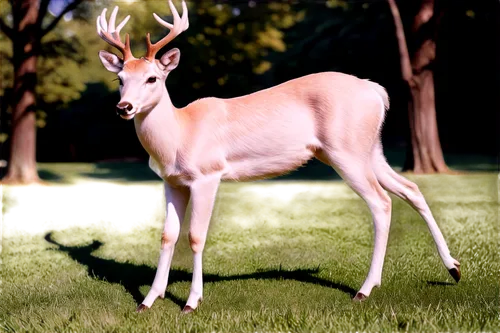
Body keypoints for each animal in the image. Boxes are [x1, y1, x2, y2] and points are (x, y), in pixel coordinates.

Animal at [95, 0, 458, 312]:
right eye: (120, 78)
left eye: (152, 77)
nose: (123, 107)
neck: (179, 135)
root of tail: (376, 91)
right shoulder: (172, 181)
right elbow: (167, 236)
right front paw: (148, 300)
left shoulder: (207, 174)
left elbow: (196, 236)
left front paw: (191, 302)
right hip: (370, 149)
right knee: (410, 188)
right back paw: (452, 268)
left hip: (347, 150)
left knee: (381, 202)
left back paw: (365, 289)